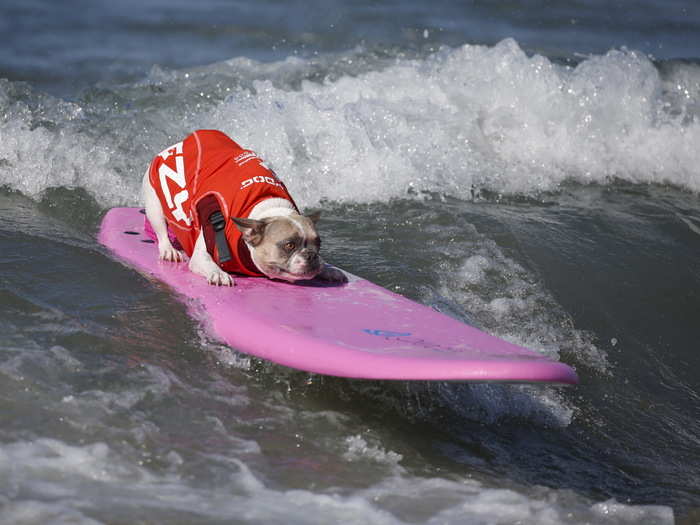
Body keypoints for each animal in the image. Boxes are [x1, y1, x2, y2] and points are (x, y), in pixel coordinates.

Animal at [142, 130, 348, 286]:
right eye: (289, 245)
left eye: (318, 244)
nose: (311, 256)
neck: (264, 205)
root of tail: (179, 143)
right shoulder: (201, 253)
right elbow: (207, 261)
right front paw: (219, 273)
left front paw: (328, 268)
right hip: (154, 202)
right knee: (161, 230)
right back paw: (169, 250)